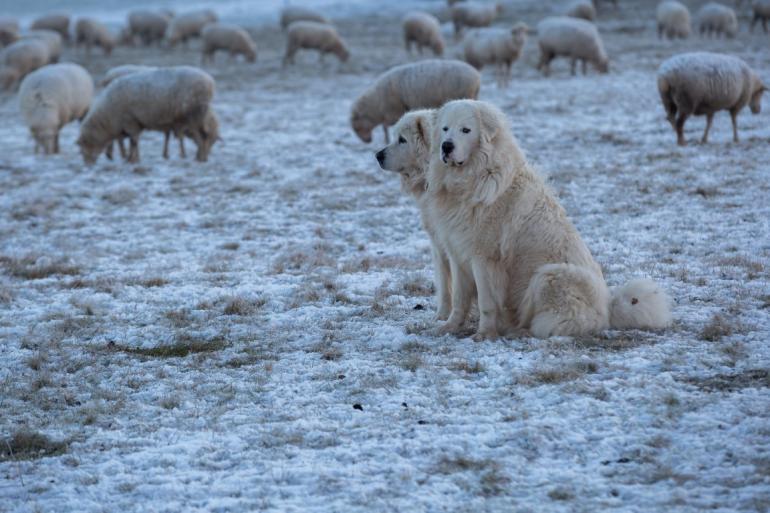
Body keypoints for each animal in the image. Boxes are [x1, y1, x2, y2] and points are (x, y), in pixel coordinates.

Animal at [77, 65, 219, 163]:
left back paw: (201, 158)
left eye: (84, 145)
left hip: (194, 115)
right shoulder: (133, 123)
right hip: (195, 117)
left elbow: (134, 141)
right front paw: (132, 158)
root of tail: (210, 81)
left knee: (202, 137)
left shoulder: (130, 121)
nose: (87, 166)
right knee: (202, 137)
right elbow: (134, 141)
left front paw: (132, 159)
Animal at [350, 60, 480, 144]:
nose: (367, 141)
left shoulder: (393, 111)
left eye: (357, 128)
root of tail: (476, 76)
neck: (377, 104)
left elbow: (386, 127)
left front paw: (387, 139)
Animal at [424, 100, 668, 340]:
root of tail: (609, 308)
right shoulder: (458, 253)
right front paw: (449, 327)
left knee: (550, 323)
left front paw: (484, 334)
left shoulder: (484, 257)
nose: (446, 146)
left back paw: (519, 331)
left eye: (466, 130)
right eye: (445, 129)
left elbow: (486, 302)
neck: (476, 176)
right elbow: (459, 298)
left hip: (549, 275)